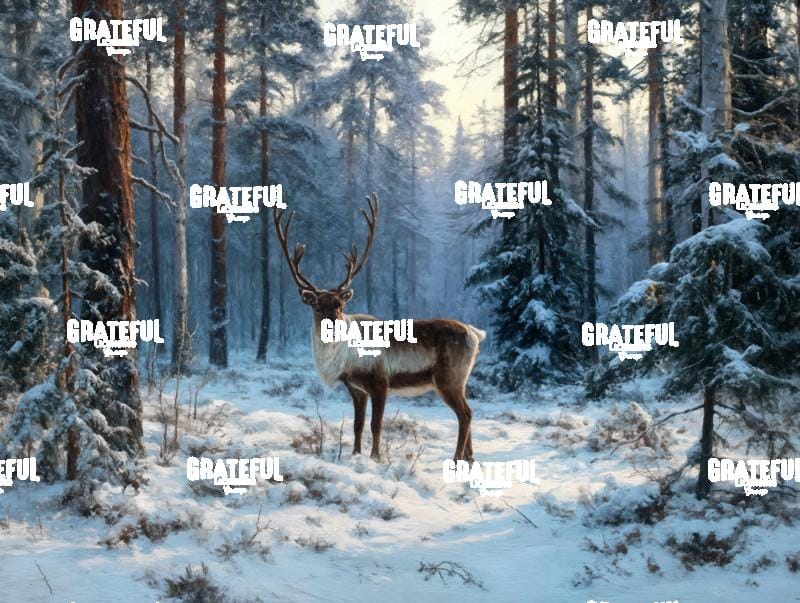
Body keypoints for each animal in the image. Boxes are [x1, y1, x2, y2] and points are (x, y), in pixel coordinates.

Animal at [273, 193, 486, 463]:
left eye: (339, 304)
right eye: (317, 306)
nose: (333, 323)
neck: (345, 360)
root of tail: (475, 333)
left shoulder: (380, 383)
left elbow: (376, 425)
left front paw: (375, 458)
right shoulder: (356, 389)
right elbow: (357, 424)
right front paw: (355, 454)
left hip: (449, 378)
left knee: (465, 413)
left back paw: (457, 458)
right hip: (461, 380)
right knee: (468, 412)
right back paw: (470, 457)